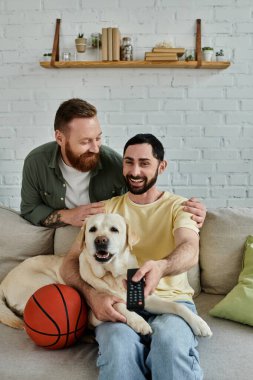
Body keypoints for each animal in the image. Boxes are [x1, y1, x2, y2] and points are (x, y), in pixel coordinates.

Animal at [0, 214, 211, 336]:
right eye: (92, 229)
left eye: (114, 230)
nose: (101, 240)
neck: (113, 275)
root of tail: (3, 281)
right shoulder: (97, 310)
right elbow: (118, 305)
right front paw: (139, 321)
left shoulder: (147, 298)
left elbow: (177, 306)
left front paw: (199, 323)